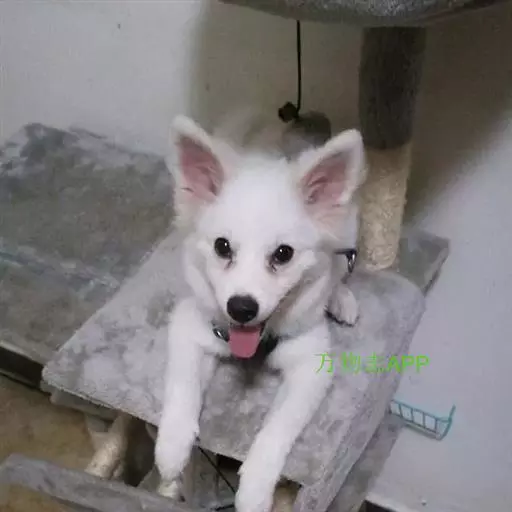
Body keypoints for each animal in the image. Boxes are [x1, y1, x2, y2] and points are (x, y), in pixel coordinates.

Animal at [155, 110, 366, 512]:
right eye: (222, 247)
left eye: (283, 254)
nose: (241, 308)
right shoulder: (189, 325)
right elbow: (181, 386)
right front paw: (171, 448)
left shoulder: (311, 367)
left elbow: (276, 430)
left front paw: (254, 489)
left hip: (346, 233)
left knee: (338, 267)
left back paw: (342, 298)